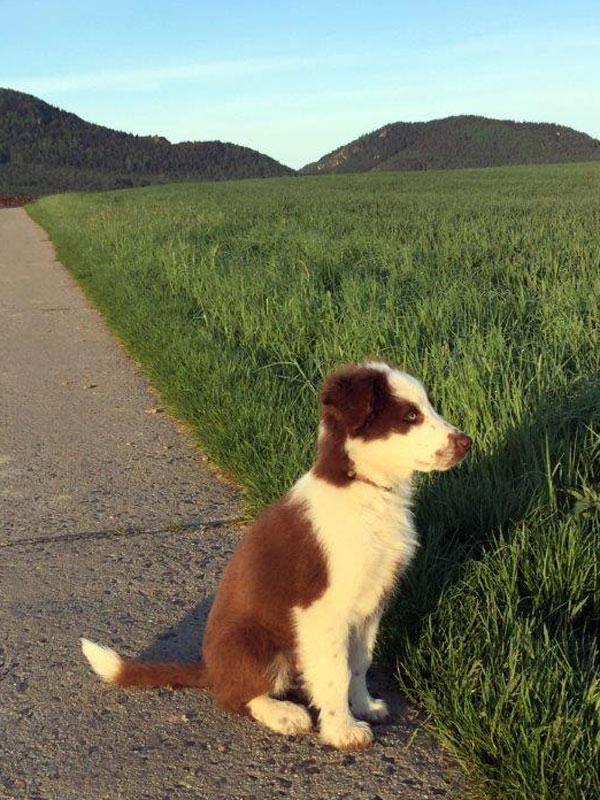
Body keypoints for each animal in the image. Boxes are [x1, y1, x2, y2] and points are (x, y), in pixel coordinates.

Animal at [81, 362, 474, 752]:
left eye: (429, 406)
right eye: (410, 416)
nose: (467, 443)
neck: (361, 487)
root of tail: (210, 668)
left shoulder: (371, 602)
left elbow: (359, 662)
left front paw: (364, 706)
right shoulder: (323, 610)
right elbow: (336, 671)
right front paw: (342, 730)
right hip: (256, 642)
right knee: (235, 695)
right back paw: (284, 714)